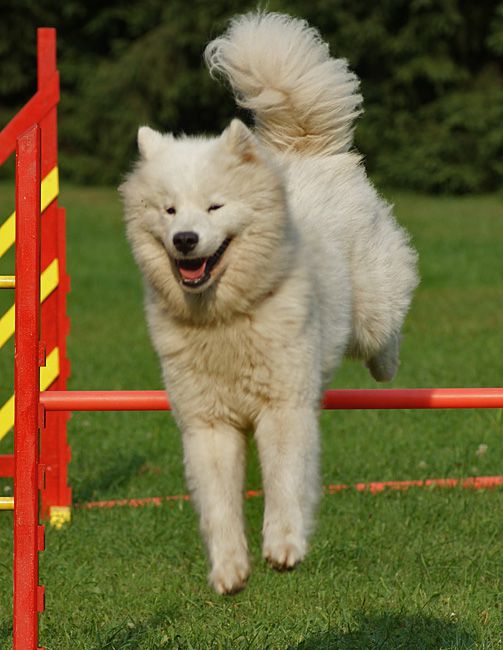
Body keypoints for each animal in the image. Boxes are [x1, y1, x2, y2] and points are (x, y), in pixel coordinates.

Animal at [120, 12, 420, 596]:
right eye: (169, 210)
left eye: (215, 206)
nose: (185, 240)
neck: (226, 318)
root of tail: (305, 148)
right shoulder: (208, 424)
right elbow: (218, 505)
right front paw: (229, 569)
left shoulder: (284, 407)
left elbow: (285, 483)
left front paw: (284, 546)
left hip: (372, 310)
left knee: (387, 326)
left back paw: (388, 366)